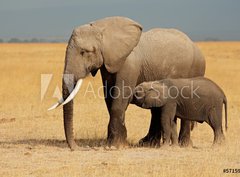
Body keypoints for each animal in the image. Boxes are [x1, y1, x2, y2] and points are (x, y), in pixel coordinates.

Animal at [48, 16, 204, 150]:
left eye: (84, 52)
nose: (79, 148)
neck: (102, 28)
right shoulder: (108, 64)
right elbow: (109, 98)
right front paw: (118, 142)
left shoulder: (129, 64)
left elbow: (121, 98)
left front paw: (115, 145)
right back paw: (148, 143)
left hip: (195, 69)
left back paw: (183, 145)